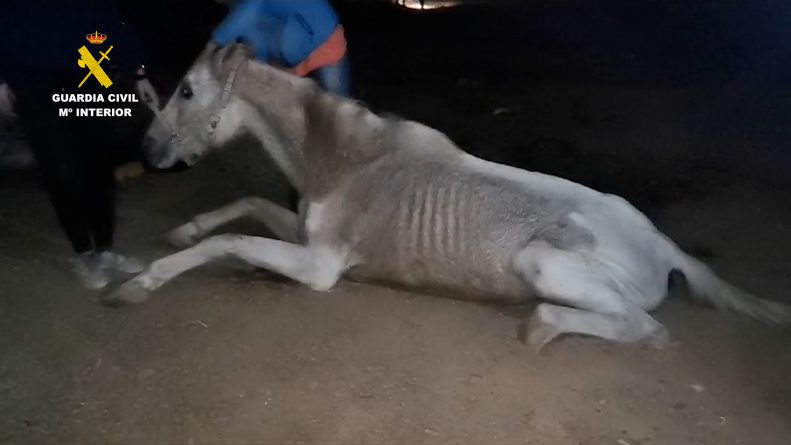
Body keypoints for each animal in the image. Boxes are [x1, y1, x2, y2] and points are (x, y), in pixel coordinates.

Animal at [105, 43, 790, 350]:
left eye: (187, 91)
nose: (149, 152)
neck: (344, 159)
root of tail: (665, 247)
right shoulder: (303, 233)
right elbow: (242, 209)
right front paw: (179, 234)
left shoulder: (320, 266)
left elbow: (231, 241)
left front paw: (141, 282)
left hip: (546, 265)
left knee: (646, 329)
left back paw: (541, 326)